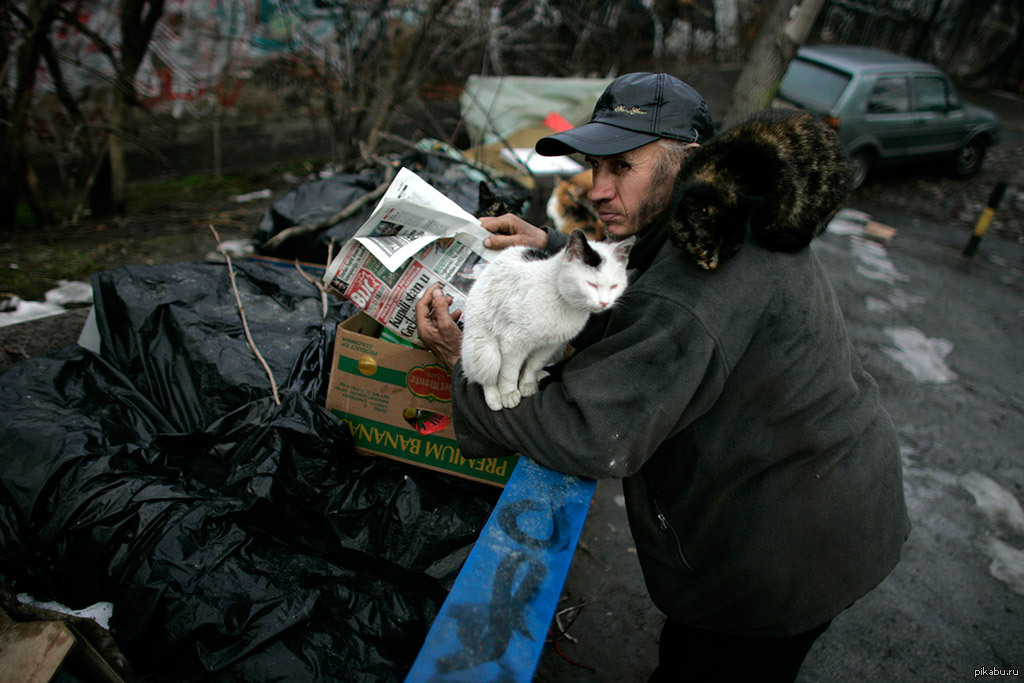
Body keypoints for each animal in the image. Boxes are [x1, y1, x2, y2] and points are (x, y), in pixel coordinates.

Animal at [462, 229, 630, 411]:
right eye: (591, 284)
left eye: (614, 286)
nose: (605, 302)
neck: (565, 305)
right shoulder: (513, 344)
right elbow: (508, 373)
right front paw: (508, 393)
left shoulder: (551, 344)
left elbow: (533, 365)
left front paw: (528, 383)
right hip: (486, 352)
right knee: (484, 379)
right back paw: (495, 399)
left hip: (559, 349)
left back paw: (539, 376)